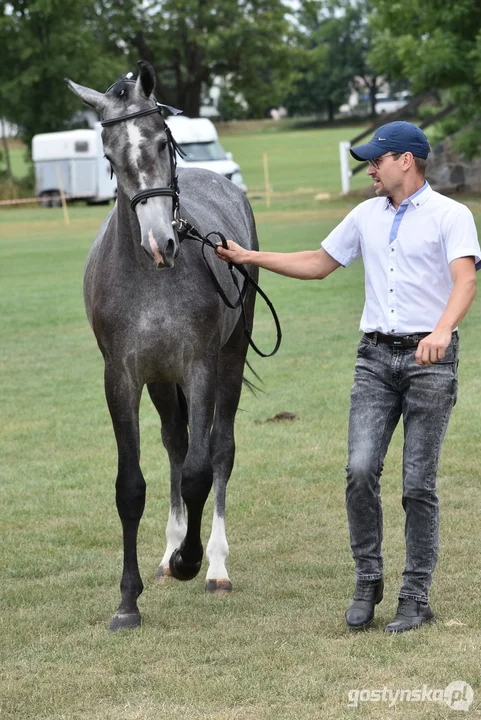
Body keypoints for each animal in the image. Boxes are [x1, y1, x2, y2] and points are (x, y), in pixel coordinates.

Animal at [66, 63, 258, 632]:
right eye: (109, 157)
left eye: (161, 143)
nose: (159, 243)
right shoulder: (124, 378)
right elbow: (131, 486)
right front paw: (128, 601)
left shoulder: (199, 368)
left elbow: (198, 473)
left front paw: (192, 560)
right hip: (159, 380)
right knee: (175, 443)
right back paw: (168, 554)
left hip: (229, 360)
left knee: (218, 450)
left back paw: (212, 564)